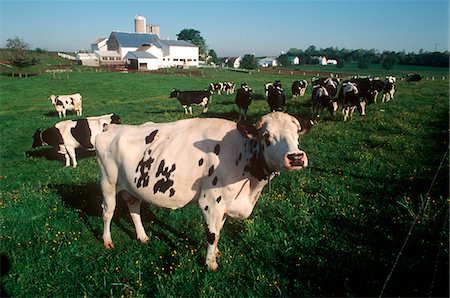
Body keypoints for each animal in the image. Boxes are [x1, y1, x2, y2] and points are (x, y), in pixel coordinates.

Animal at [95, 111, 310, 270]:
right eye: (266, 136)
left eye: (297, 133)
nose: (296, 157)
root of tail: (112, 127)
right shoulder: (211, 202)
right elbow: (212, 234)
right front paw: (210, 263)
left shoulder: (224, 205)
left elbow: (219, 230)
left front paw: (215, 254)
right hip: (108, 181)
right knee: (108, 211)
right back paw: (107, 241)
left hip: (133, 185)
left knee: (133, 207)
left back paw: (142, 237)